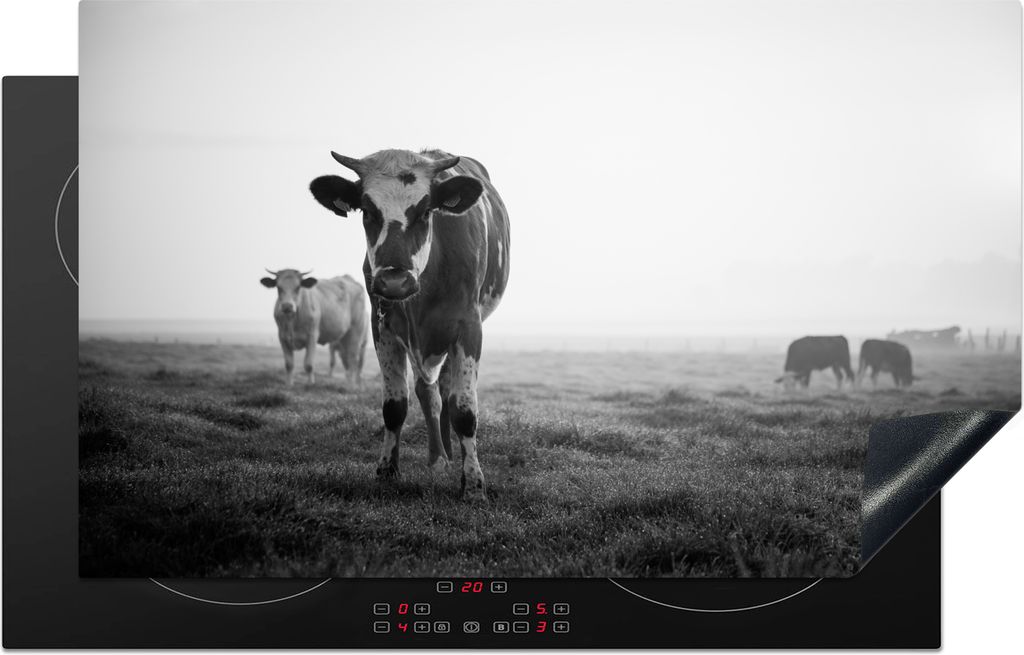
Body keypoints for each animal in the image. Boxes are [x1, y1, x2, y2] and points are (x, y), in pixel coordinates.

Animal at [309, 149, 510, 501]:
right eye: (367, 211)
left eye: (426, 211)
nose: (394, 281)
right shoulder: (383, 327)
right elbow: (395, 406)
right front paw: (387, 471)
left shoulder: (469, 327)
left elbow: (464, 411)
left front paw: (473, 484)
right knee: (430, 393)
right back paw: (439, 457)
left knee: (446, 393)